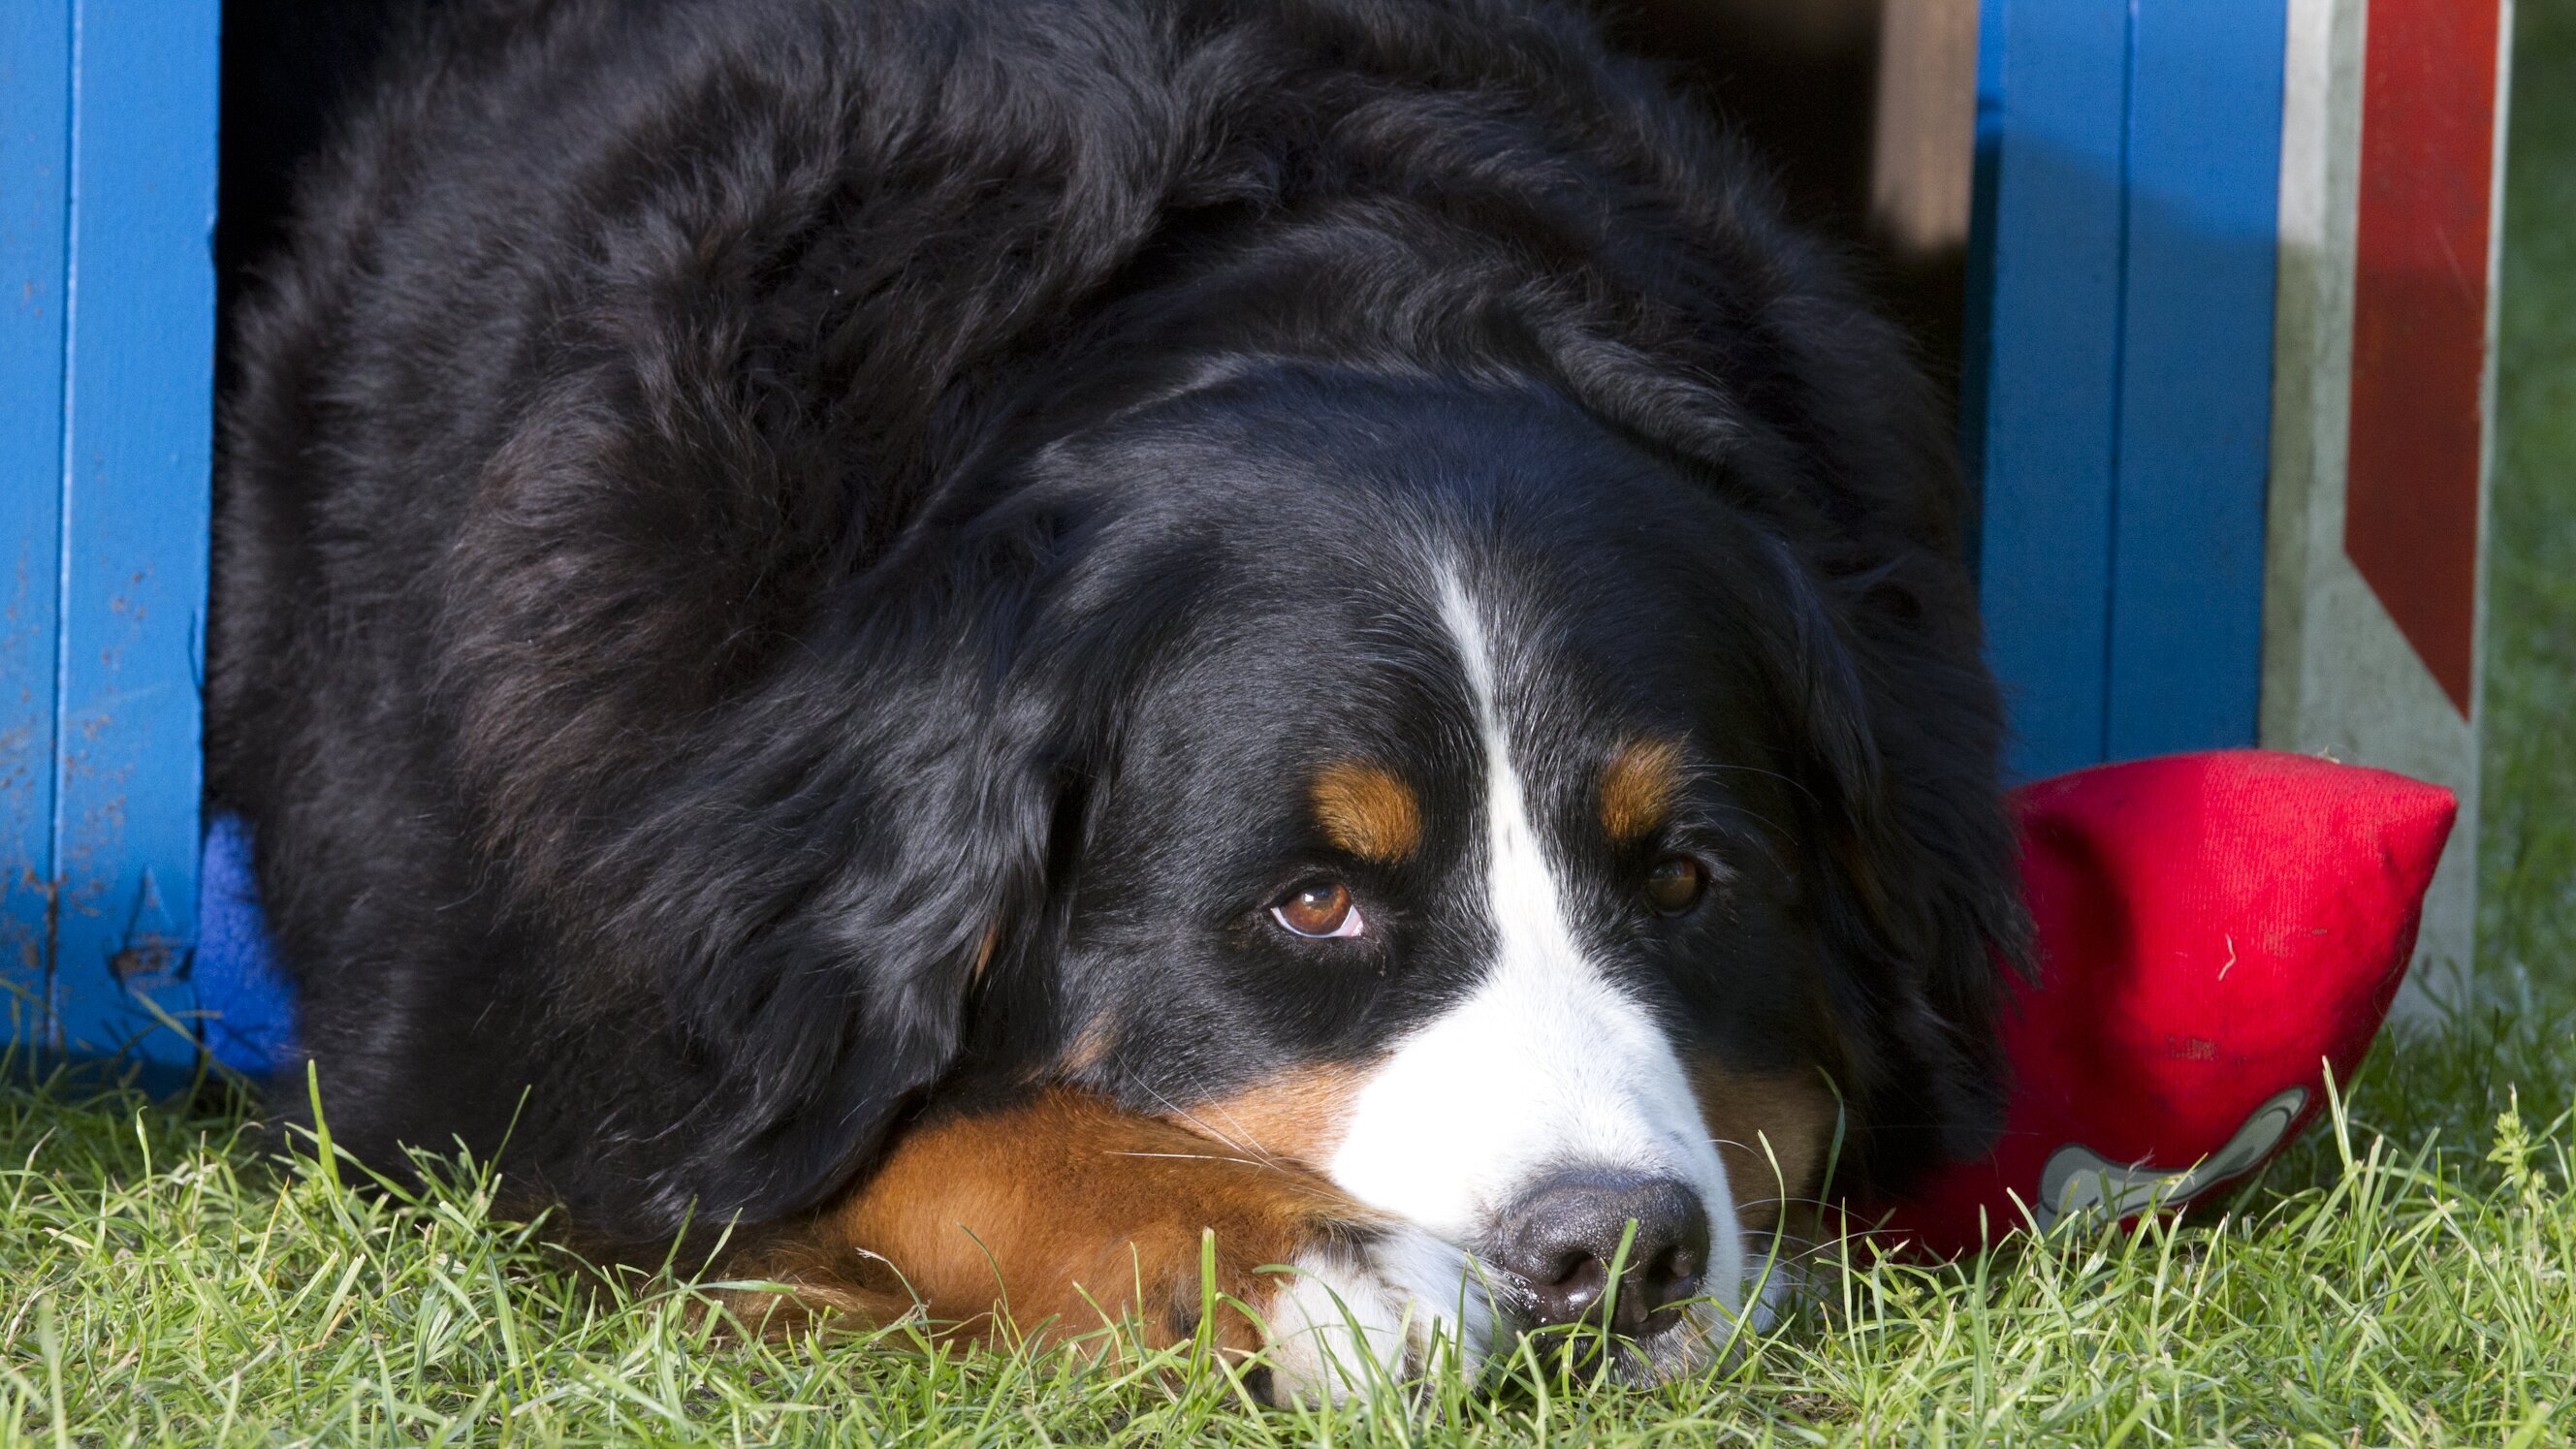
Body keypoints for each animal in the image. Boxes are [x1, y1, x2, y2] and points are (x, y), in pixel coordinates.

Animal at [216, 0, 2029, 1410]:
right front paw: (1303, 1263)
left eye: (1684, 880)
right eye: (1312, 905)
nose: (1611, 1251)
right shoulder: (497, 1078)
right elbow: (925, 1139)